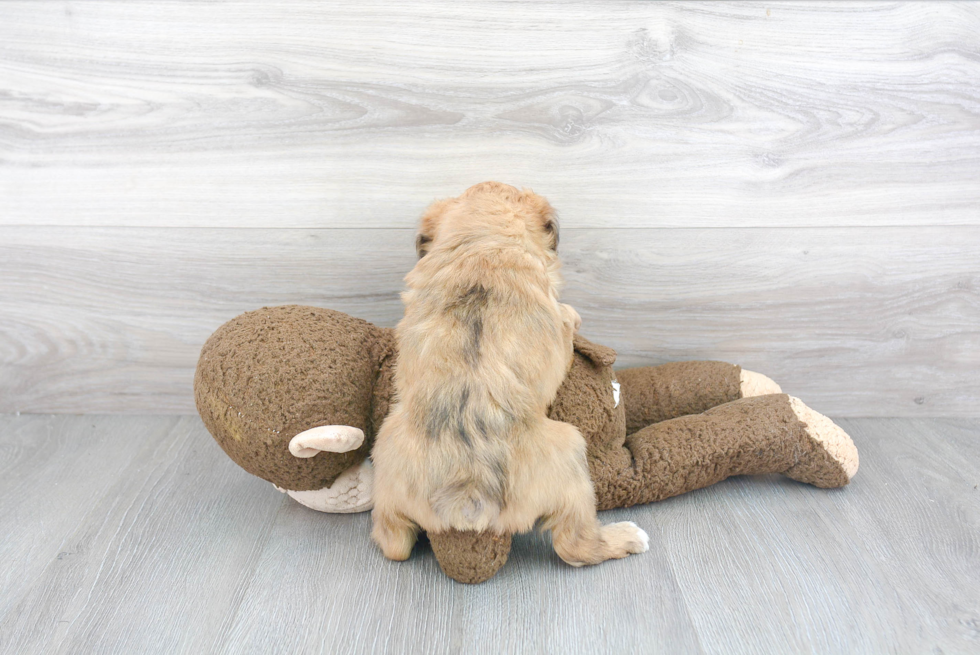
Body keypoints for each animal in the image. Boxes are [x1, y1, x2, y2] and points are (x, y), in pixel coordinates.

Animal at [372, 181, 648, 568]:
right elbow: (568, 316)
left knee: (394, 543)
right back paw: (627, 538)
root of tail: (467, 494)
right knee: (574, 546)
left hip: (386, 451)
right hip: (571, 446)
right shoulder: (559, 325)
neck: (482, 244)